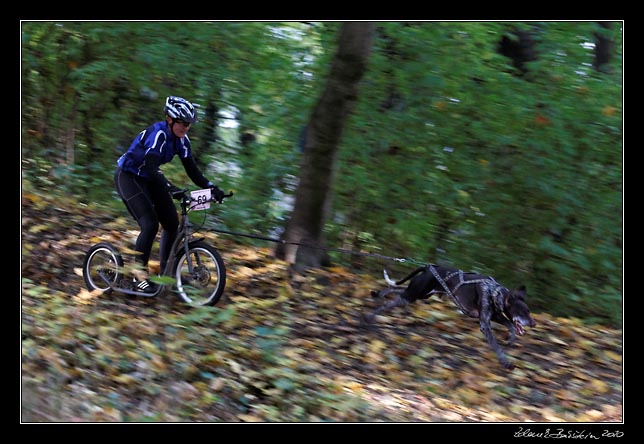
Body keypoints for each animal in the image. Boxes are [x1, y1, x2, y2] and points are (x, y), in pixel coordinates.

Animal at [364, 264, 536, 368]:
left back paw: (378, 294)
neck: (494, 291)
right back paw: (370, 315)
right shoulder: (485, 323)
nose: (534, 324)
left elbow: (510, 326)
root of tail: (428, 267)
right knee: (390, 301)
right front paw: (505, 361)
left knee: (395, 289)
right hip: (413, 295)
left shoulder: (494, 316)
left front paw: (511, 340)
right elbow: (496, 345)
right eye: (522, 312)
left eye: (529, 311)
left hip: (419, 295)